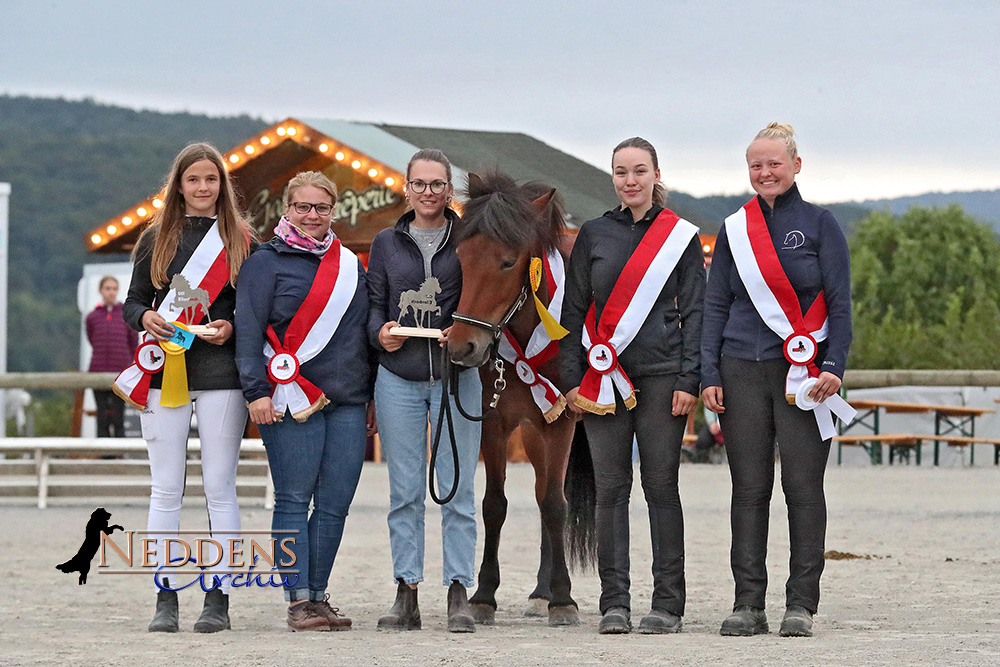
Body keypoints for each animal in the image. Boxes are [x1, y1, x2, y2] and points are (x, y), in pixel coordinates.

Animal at [448, 171, 592, 628]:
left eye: (509, 261)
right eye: (461, 255)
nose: (462, 346)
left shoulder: (560, 422)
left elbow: (555, 506)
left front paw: (564, 600)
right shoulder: (495, 423)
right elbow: (495, 505)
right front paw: (483, 596)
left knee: (555, 498)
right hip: (531, 433)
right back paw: (540, 592)